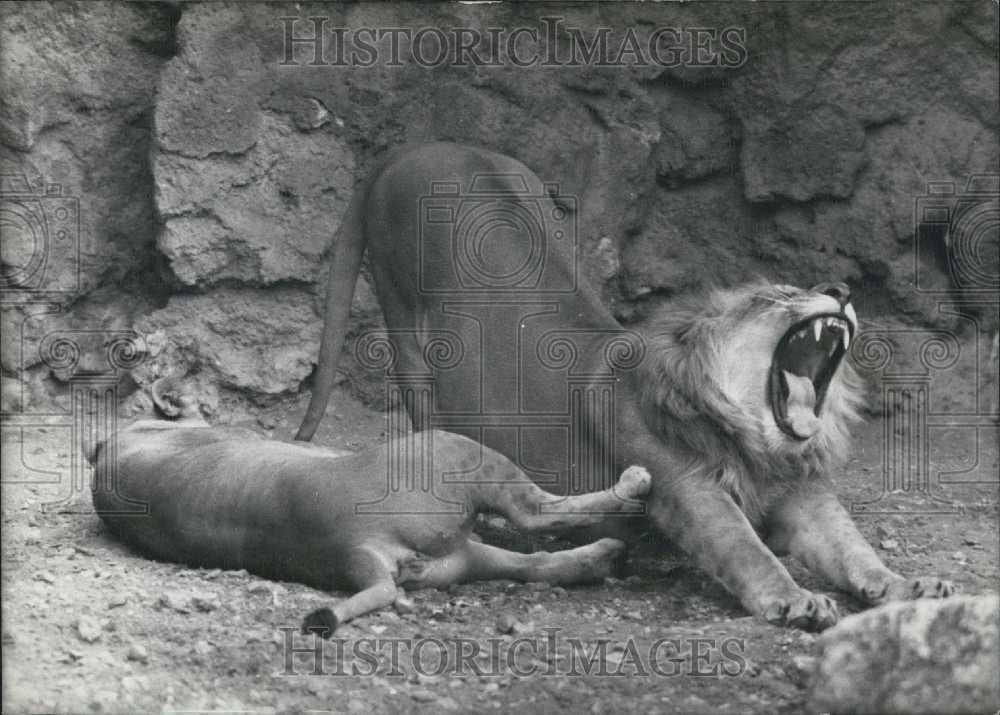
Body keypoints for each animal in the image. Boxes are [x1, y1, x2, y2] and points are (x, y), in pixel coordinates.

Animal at [297, 142, 955, 630]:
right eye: (778, 295)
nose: (841, 290)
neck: (756, 442)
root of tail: (409, 147)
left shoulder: (803, 493)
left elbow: (852, 547)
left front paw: (909, 585)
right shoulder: (687, 488)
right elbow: (748, 549)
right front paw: (794, 599)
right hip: (408, 335)